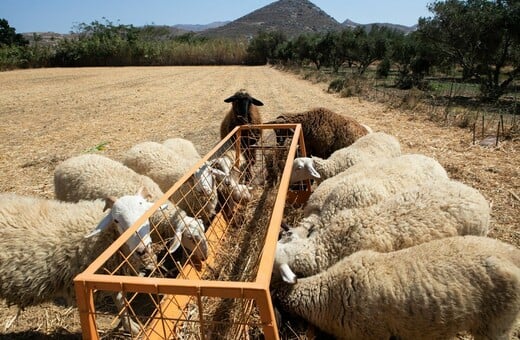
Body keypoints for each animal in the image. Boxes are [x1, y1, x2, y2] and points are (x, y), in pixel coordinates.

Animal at [0, 190, 162, 334]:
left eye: (147, 213)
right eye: (116, 220)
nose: (142, 249)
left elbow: (120, 299)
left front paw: (131, 325)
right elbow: (119, 299)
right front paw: (133, 327)